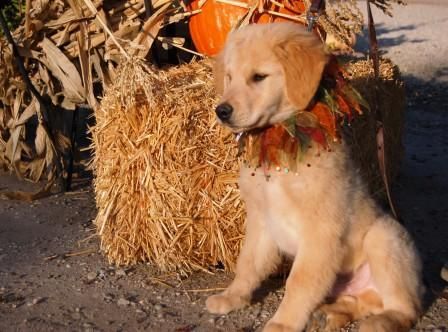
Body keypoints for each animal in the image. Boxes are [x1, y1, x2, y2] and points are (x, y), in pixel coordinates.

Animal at [206, 22, 424, 332]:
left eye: (259, 77)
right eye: (229, 77)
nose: (222, 111)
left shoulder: (321, 232)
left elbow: (299, 282)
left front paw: (283, 323)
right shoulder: (261, 220)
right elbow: (248, 264)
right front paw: (233, 296)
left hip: (384, 239)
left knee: (406, 308)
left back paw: (382, 321)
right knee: (363, 302)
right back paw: (329, 314)